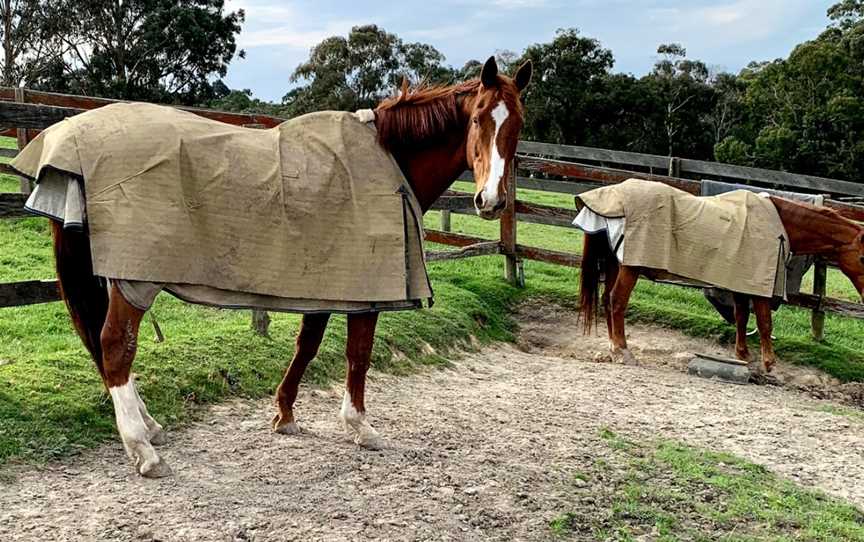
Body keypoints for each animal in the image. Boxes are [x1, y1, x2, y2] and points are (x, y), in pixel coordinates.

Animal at [572, 181, 864, 376]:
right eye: (862, 258)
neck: (778, 222)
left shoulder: (741, 280)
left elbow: (741, 317)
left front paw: (743, 356)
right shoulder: (758, 285)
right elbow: (764, 322)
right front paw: (769, 363)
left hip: (615, 263)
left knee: (607, 300)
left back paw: (614, 348)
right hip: (631, 266)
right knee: (616, 302)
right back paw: (623, 351)